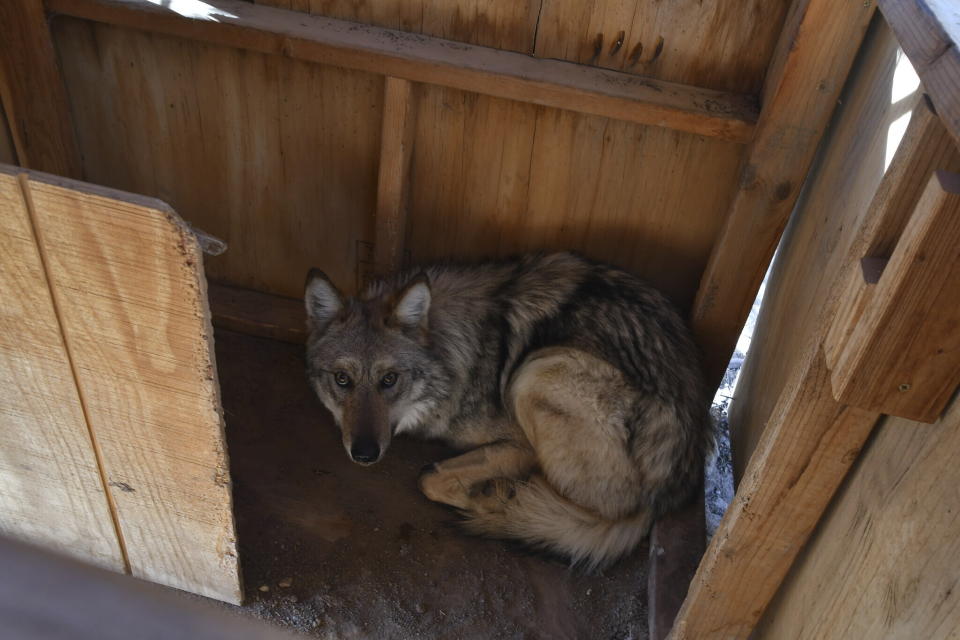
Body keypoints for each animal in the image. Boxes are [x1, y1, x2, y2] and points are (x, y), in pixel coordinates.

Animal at [306, 252, 712, 568]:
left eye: (389, 380)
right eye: (342, 380)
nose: (364, 454)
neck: (454, 351)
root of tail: (665, 496)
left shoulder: (520, 443)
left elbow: (429, 479)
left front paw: (482, 490)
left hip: (537, 373)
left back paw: (500, 499)